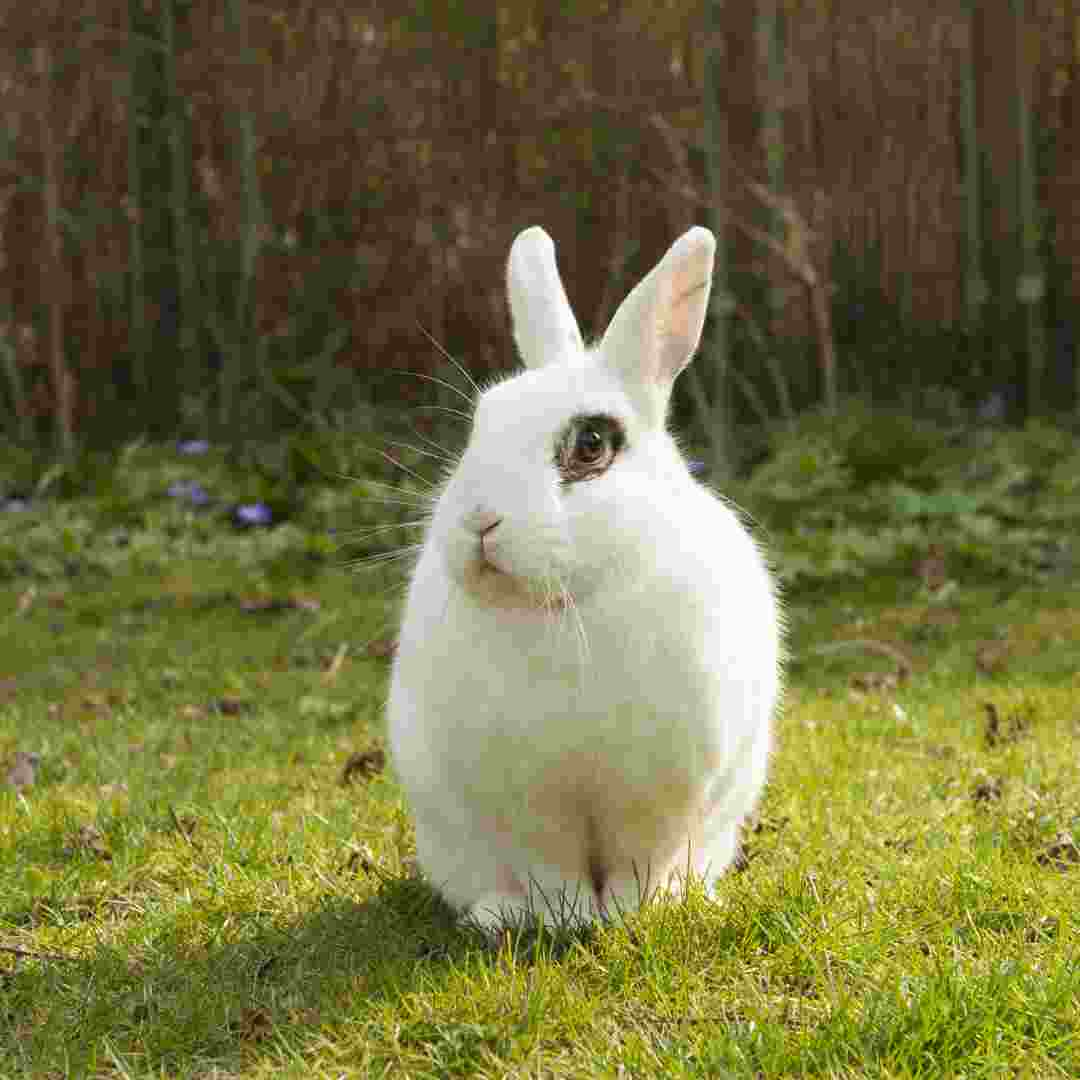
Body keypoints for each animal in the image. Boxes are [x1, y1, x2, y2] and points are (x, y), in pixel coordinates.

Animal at [393, 225, 781, 928]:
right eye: (481, 424)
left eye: (591, 444)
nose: (479, 520)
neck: (568, 605)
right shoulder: (525, 805)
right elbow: (550, 870)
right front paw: (563, 918)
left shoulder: (659, 797)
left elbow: (638, 863)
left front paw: (632, 912)